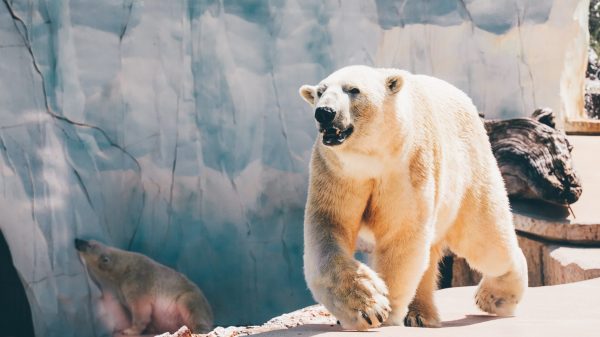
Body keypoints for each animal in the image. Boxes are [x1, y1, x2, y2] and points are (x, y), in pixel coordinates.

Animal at [298, 65, 524, 328]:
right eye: (320, 92)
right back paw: (420, 314)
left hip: (470, 171)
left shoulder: (407, 167)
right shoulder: (337, 172)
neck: (372, 158)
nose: (325, 113)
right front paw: (368, 306)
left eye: (353, 90)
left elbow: (401, 234)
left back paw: (494, 297)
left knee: (485, 239)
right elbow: (329, 227)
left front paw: (384, 313)